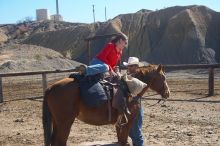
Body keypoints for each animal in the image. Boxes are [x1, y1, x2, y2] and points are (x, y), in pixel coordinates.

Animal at [42, 64, 170, 145]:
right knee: (60, 142)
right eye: (163, 77)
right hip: (65, 123)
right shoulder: (128, 122)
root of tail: (51, 87)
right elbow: (123, 141)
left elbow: (121, 141)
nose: (167, 93)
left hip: (57, 122)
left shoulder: (120, 122)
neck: (129, 88)